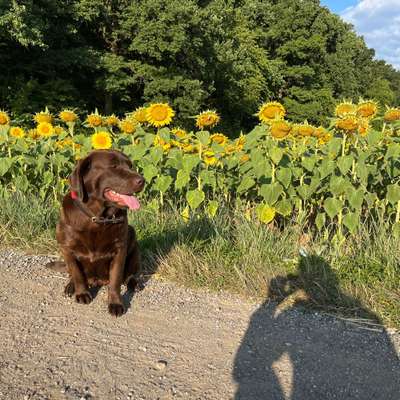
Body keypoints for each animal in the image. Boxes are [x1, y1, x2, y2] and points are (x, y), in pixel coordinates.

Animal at [46, 149, 145, 316]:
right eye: (113, 166)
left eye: (130, 166)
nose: (142, 180)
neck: (98, 218)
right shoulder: (67, 248)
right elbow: (77, 274)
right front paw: (81, 292)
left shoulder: (120, 250)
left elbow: (116, 280)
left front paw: (115, 303)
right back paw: (71, 286)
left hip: (133, 241)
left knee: (129, 274)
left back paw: (134, 283)